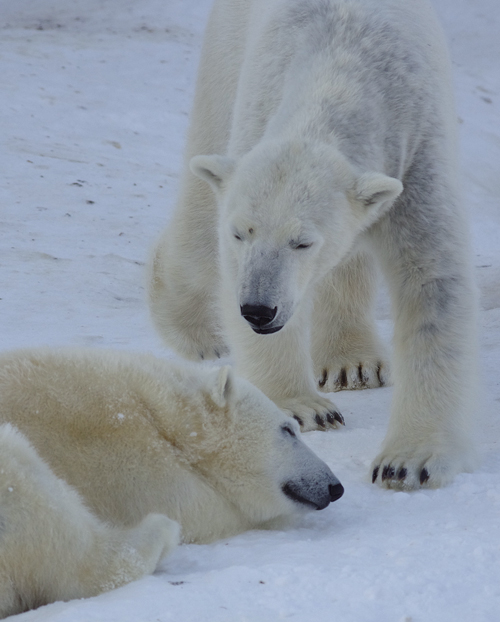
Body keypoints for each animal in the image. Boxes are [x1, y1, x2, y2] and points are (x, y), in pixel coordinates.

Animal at [148, 0, 476, 492]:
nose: (258, 311)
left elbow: (431, 283)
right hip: (226, 51)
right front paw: (304, 407)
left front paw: (406, 462)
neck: (342, 72)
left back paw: (352, 363)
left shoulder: (417, 154)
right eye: (240, 233)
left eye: (303, 242)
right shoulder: (260, 116)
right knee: (202, 194)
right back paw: (197, 335)